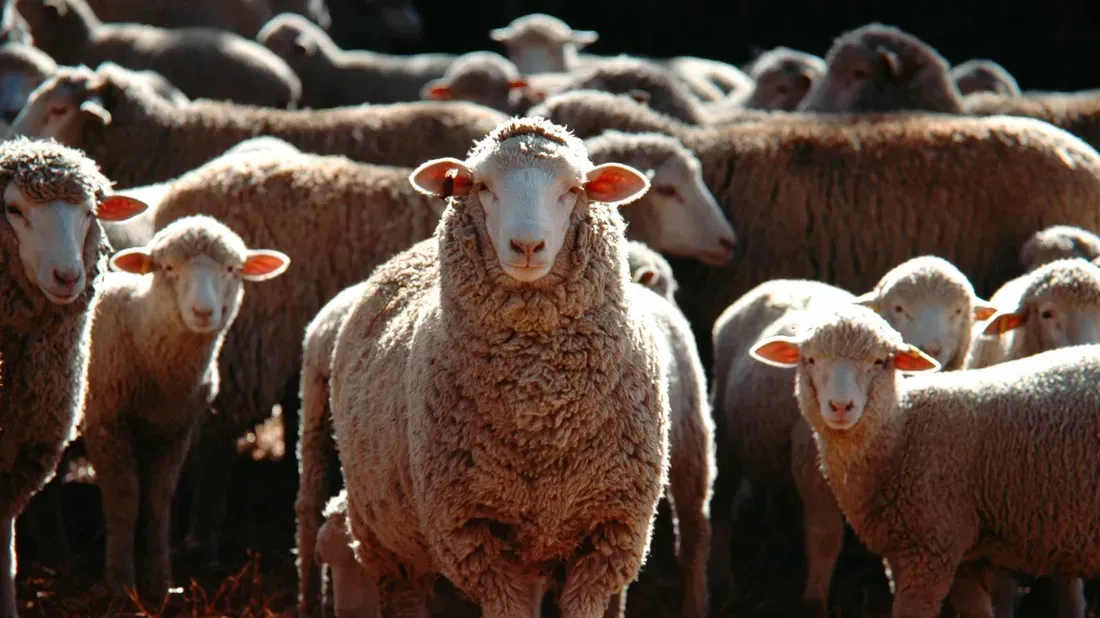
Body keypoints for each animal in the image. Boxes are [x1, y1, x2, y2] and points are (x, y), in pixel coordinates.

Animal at [81, 215, 289, 601]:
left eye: (231, 269)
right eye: (168, 268)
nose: (203, 312)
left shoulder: (178, 429)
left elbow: (159, 500)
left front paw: (160, 583)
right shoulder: (106, 422)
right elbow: (124, 499)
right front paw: (119, 583)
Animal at [328, 117, 667, 618]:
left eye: (573, 188)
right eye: (482, 186)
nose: (527, 245)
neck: (540, 407)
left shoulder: (612, 531)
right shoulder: (470, 532)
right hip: (385, 540)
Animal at [749, 303, 1100, 618]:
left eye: (879, 361)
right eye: (810, 360)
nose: (840, 406)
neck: (902, 430)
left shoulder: (929, 547)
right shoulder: (956, 553)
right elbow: (977, 609)